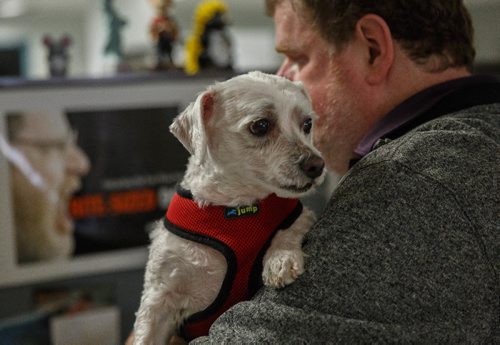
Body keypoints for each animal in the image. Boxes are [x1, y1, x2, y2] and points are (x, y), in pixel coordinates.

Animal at [133, 71, 324, 342]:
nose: (317, 165)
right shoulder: (159, 296)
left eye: (307, 124)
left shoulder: (298, 214)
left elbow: (291, 226)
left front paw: (280, 258)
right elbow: (147, 333)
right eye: (260, 125)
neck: (235, 207)